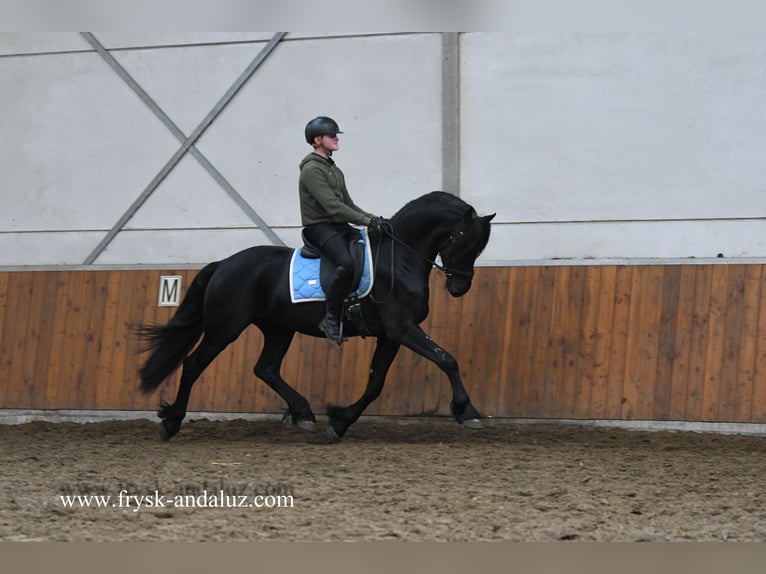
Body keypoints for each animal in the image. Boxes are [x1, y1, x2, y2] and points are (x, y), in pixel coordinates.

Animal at [139, 191, 498, 444]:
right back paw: (171, 421)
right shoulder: (403, 329)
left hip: (278, 329)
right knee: (193, 364)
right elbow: (447, 359)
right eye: (466, 241)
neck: (398, 258)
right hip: (225, 328)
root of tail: (223, 264)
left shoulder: (390, 336)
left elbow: (375, 384)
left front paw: (339, 422)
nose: (459, 287)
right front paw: (467, 412)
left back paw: (304, 414)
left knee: (266, 368)